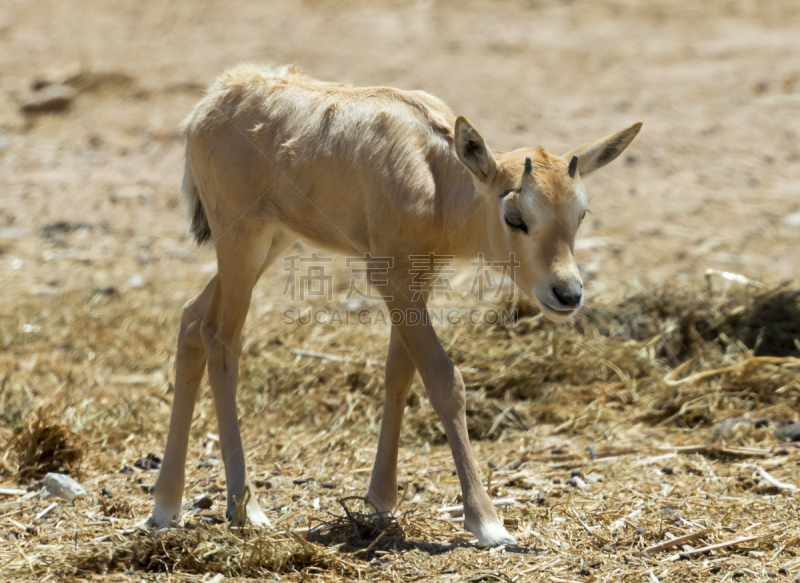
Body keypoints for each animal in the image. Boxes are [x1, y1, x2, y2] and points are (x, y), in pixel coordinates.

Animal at [147, 64, 640, 548]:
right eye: (516, 216)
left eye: (580, 214)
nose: (567, 294)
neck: (433, 171)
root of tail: (212, 102)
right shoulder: (390, 278)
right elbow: (443, 379)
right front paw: (487, 523)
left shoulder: (418, 280)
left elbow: (399, 373)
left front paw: (381, 501)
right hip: (242, 241)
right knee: (222, 341)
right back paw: (244, 509)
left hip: (273, 241)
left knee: (192, 320)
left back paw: (165, 506)